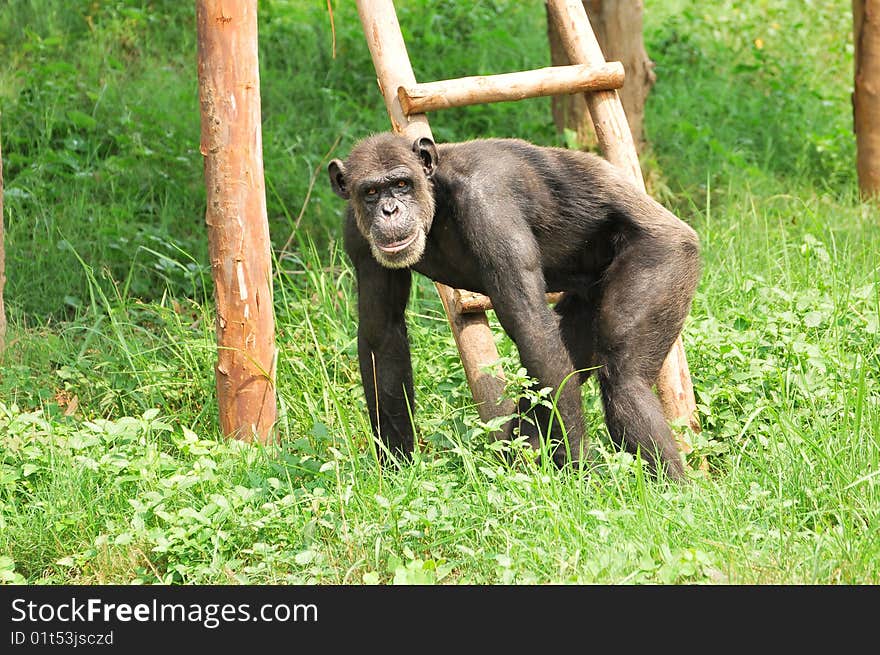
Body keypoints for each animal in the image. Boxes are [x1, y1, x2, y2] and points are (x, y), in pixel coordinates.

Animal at [326, 133, 696, 482]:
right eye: (371, 191)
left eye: (401, 184)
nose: (389, 210)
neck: (436, 196)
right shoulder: (355, 233)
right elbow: (382, 334)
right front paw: (397, 467)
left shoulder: (490, 206)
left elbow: (530, 326)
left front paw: (579, 468)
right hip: (588, 296)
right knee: (553, 371)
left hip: (665, 255)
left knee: (623, 378)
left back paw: (674, 490)